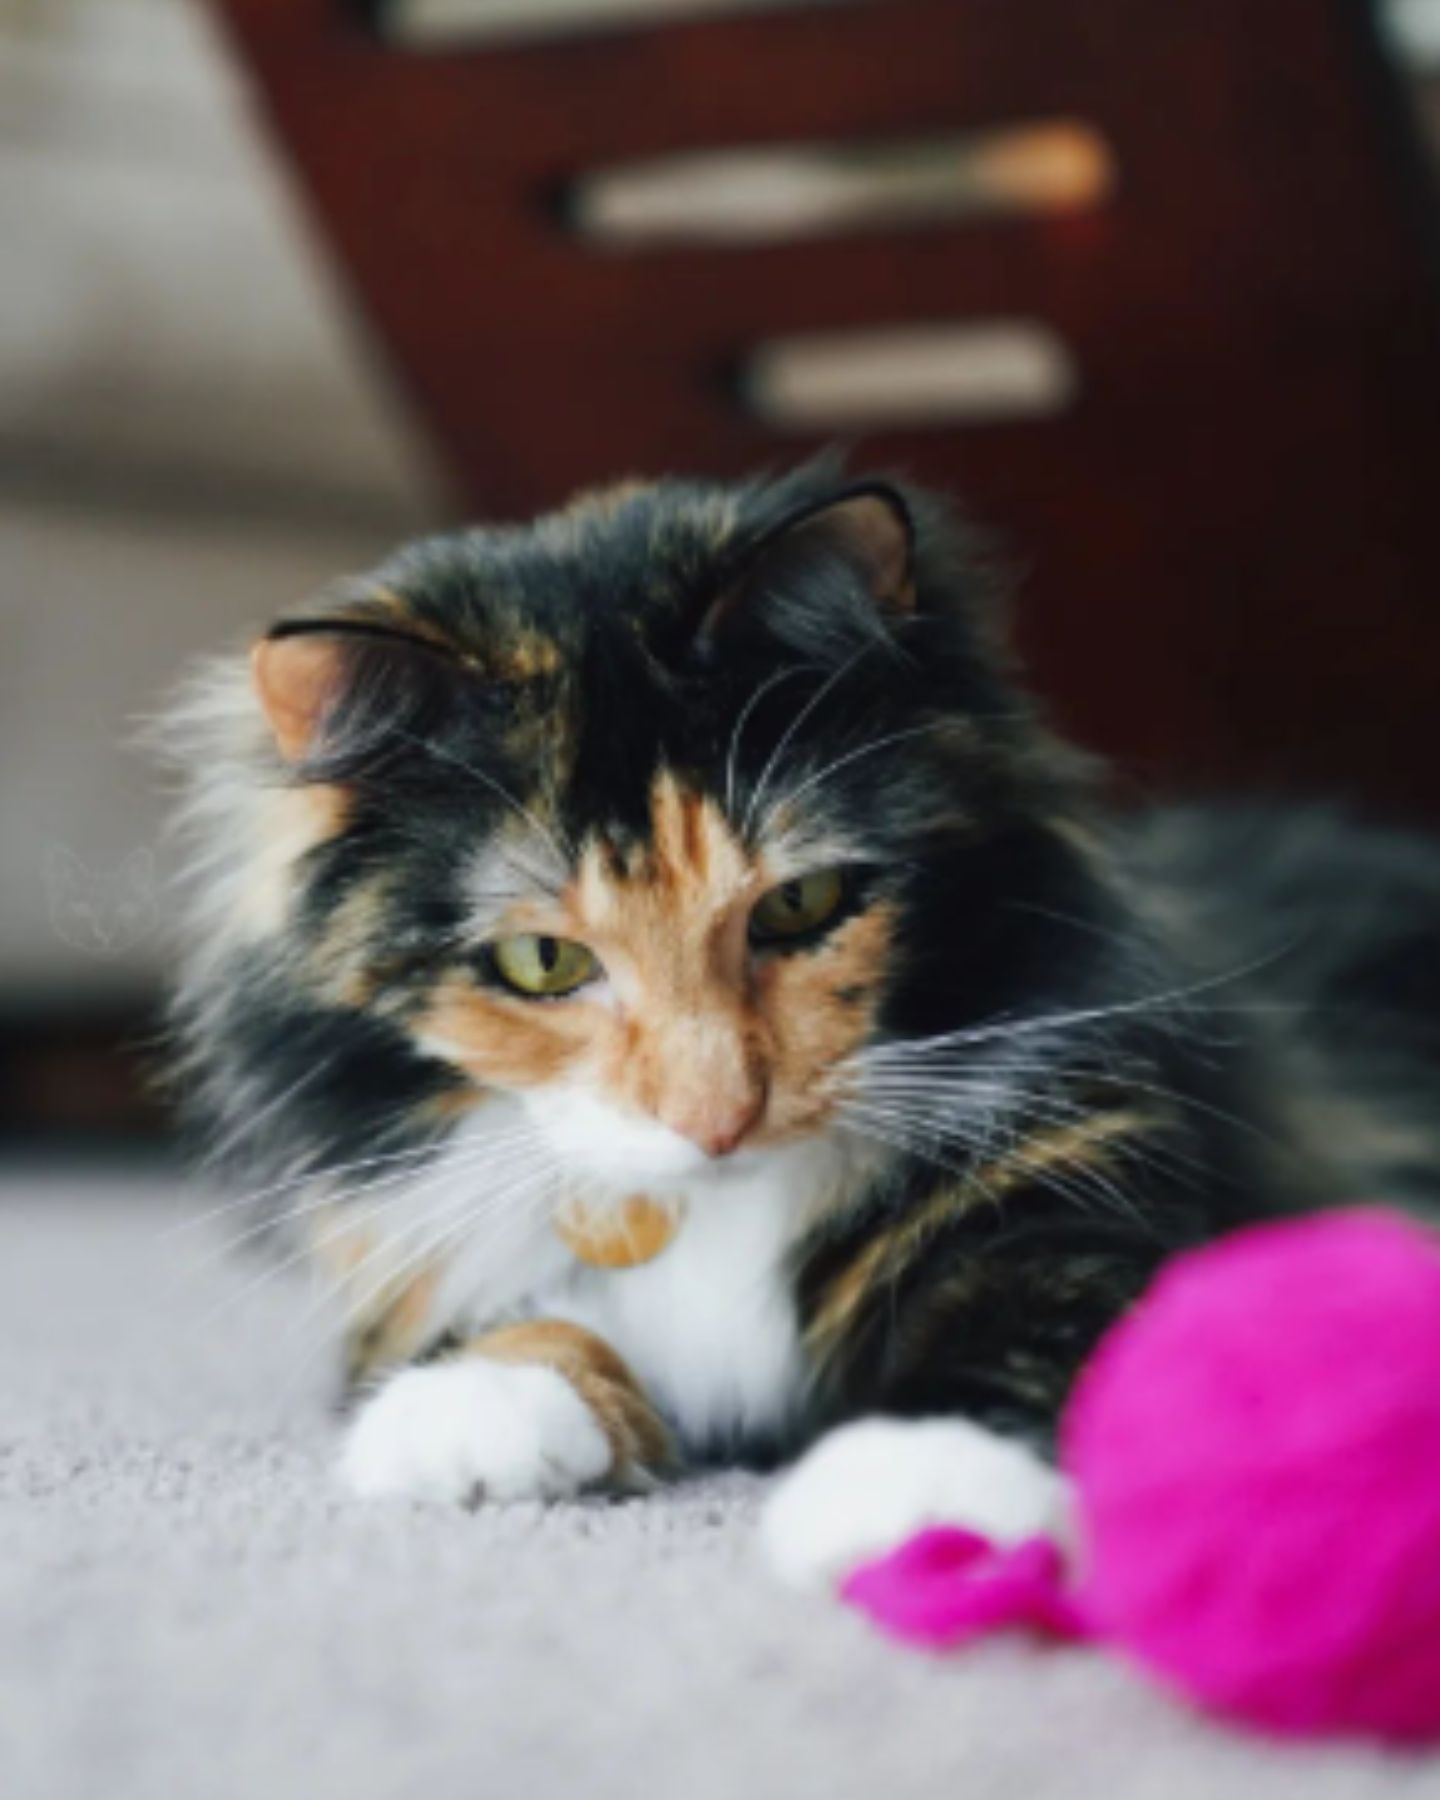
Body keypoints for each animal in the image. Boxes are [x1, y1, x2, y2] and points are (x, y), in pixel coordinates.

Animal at [162, 464, 1440, 1548]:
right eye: (541, 961)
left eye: (801, 903)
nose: (716, 1121)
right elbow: (509, 1318)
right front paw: (475, 1418)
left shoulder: (1082, 1196)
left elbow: (1031, 1322)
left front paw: (914, 1483)